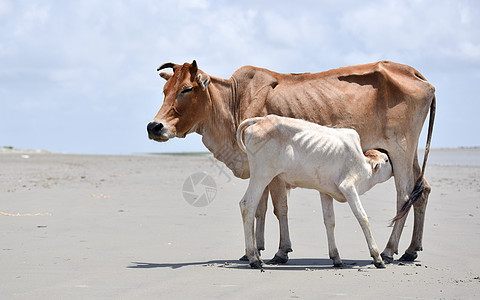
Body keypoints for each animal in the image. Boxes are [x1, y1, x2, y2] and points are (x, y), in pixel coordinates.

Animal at [234, 115, 392, 270]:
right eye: (386, 160)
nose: (393, 168)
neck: (363, 165)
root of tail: (260, 119)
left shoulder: (325, 192)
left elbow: (329, 221)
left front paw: (336, 258)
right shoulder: (349, 187)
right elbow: (362, 217)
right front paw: (377, 258)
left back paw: (257, 257)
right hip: (262, 176)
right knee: (247, 205)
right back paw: (253, 259)